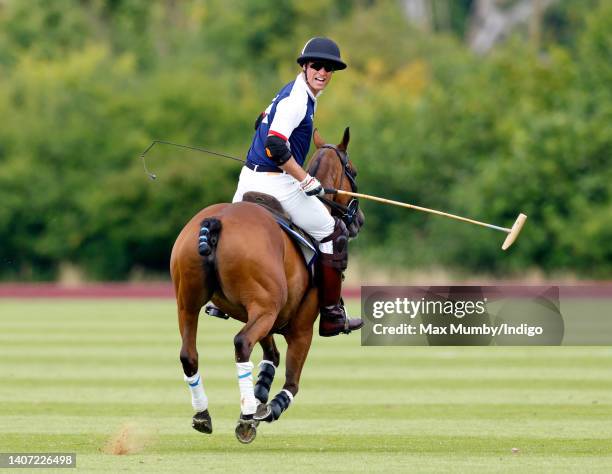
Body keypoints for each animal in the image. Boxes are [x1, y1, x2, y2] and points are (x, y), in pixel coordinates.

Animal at [171, 128, 364, 442]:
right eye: (353, 171)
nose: (358, 219)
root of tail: (216, 221)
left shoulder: (267, 314)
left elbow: (271, 355)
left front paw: (260, 395)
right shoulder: (300, 326)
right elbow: (292, 382)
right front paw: (267, 408)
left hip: (189, 302)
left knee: (189, 354)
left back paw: (203, 415)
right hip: (264, 307)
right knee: (241, 343)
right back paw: (247, 416)